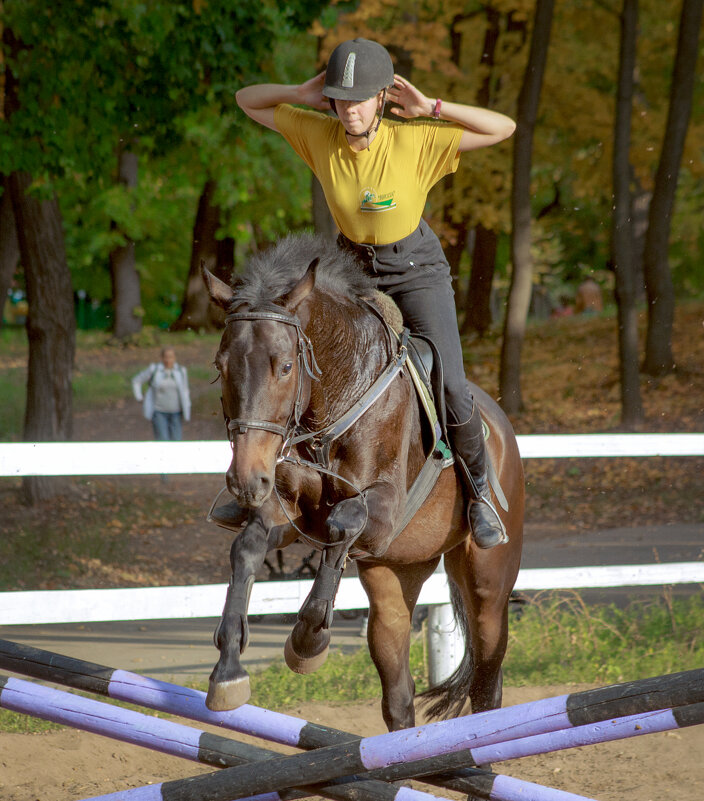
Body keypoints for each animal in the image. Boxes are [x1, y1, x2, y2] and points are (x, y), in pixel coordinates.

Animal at [199, 231, 524, 732]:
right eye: (221, 366)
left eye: (285, 367)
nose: (246, 480)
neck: (334, 399)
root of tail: (502, 424)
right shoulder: (292, 512)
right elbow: (248, 547)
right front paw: (228, 670)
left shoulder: (381, 512)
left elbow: (344, 522)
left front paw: (307, 641)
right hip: (396, 579)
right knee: (399, 696)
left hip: (489, 587)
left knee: (487, 683)